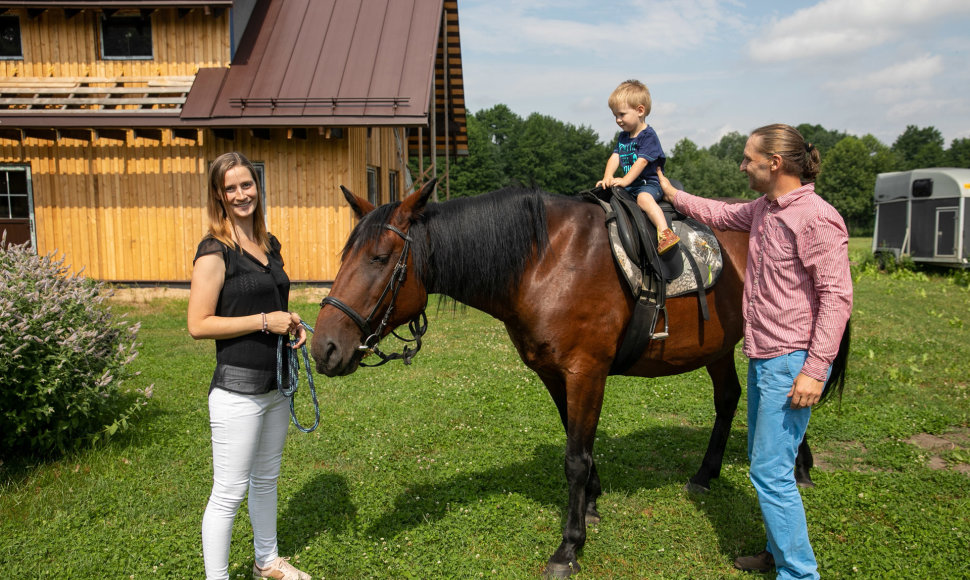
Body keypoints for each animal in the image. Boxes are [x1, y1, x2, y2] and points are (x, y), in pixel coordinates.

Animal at [312, 179, 848, 576]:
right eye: (343, 256)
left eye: (380, 258)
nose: (323, 348)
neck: (543, 261)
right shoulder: (554, 374)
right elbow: (578, 442)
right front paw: (590, 501)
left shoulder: (586, 371)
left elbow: (575, 456)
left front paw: (569, 546)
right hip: (718, 345)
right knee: (732, 398)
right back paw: (709, 474)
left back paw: (799, 468)